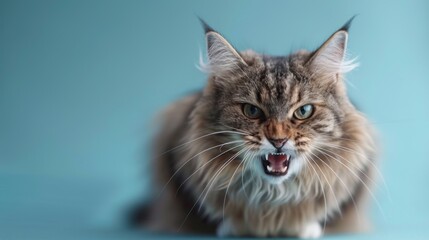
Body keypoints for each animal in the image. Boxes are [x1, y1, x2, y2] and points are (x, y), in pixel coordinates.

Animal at [139, 17, 376, 238]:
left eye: (304, 111)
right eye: (252, 111)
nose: (278, 140)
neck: (272, 195)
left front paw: (306, 227)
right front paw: (231, 227)